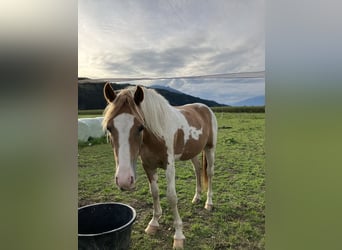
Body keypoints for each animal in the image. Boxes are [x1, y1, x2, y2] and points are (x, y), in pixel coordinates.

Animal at [101, 83, 218, 249]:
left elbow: (171, 197)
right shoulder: (148, 166)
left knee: (209, 172)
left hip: (210, 148)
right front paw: (154, 223)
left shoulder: (169, 166)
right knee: (197, 170)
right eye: (109, 127)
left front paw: (178, 236)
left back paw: (209, 203)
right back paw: (197, 197)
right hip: (193, 152)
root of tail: (205, 108)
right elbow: (154, 193)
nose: (124, 180)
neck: (156, 135)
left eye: (140, 127)